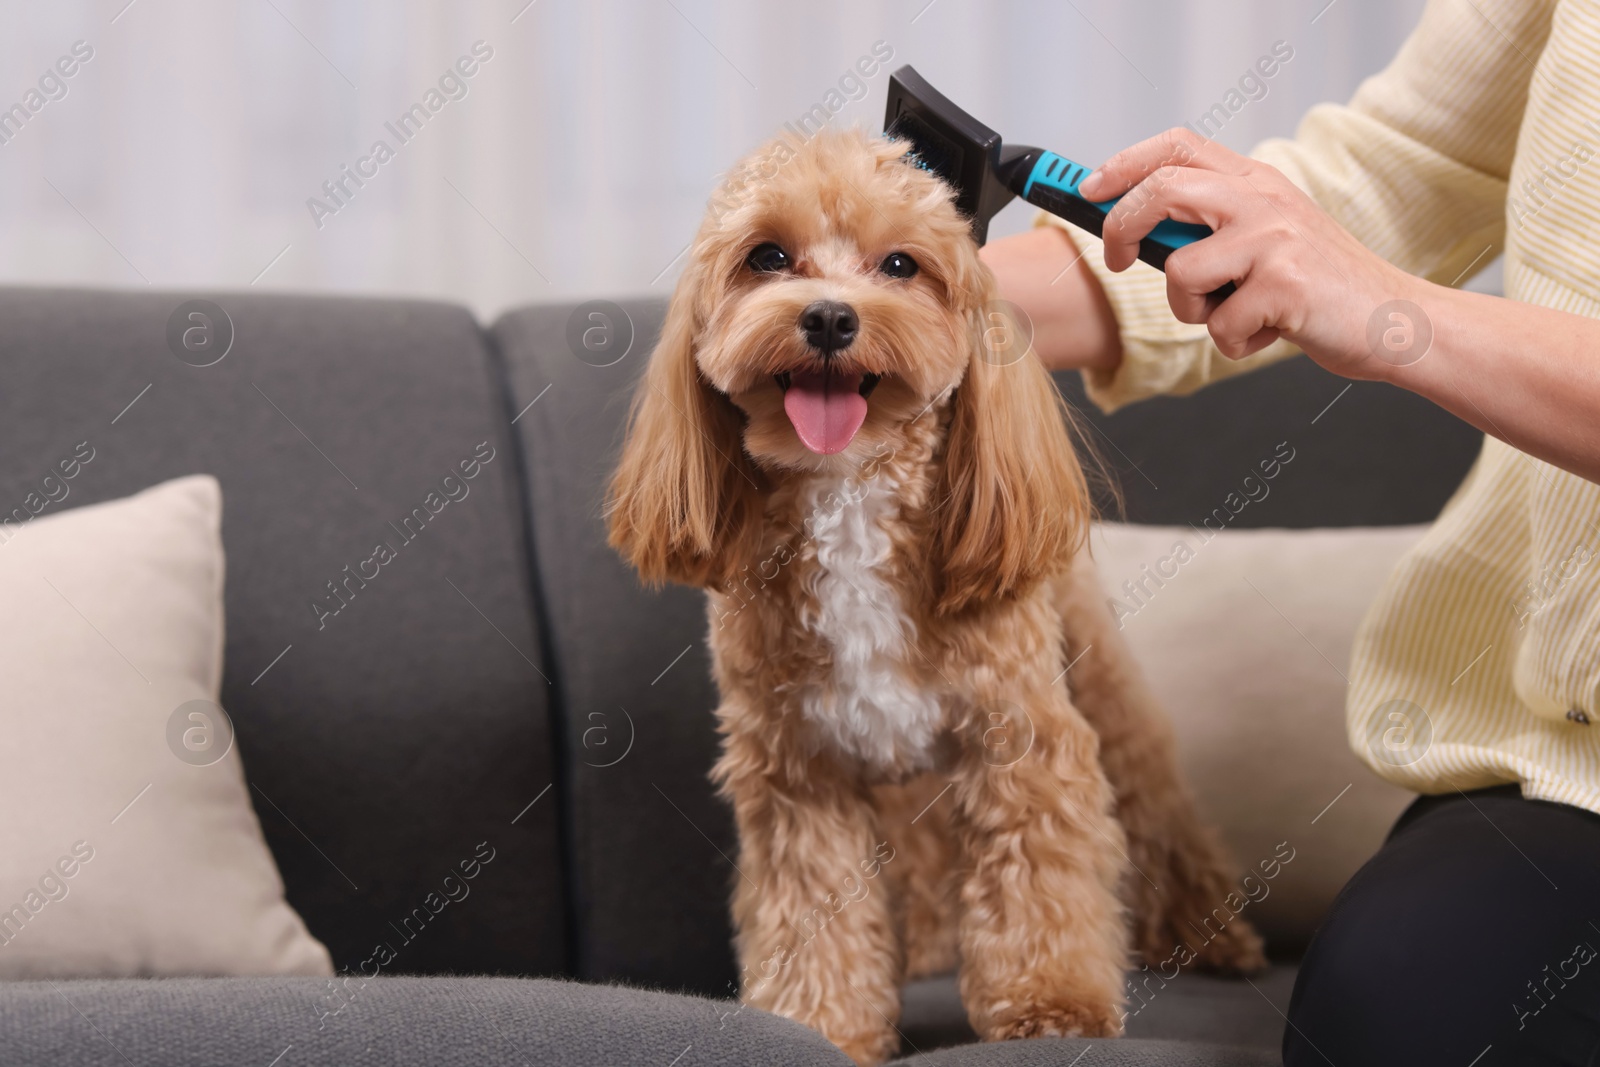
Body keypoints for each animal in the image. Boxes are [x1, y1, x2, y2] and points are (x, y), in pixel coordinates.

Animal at [604, 129, 1267, 1062]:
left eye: (900, 265)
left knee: (1154, 801)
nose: (830, 317)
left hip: (1099, 682)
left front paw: (1052, 1004)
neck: (850, 499)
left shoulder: (1019, 736)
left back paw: (1211, 931)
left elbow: (1039, 878)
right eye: (767, 256)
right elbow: (812, 909)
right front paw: (826, 1021)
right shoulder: (799, 772)